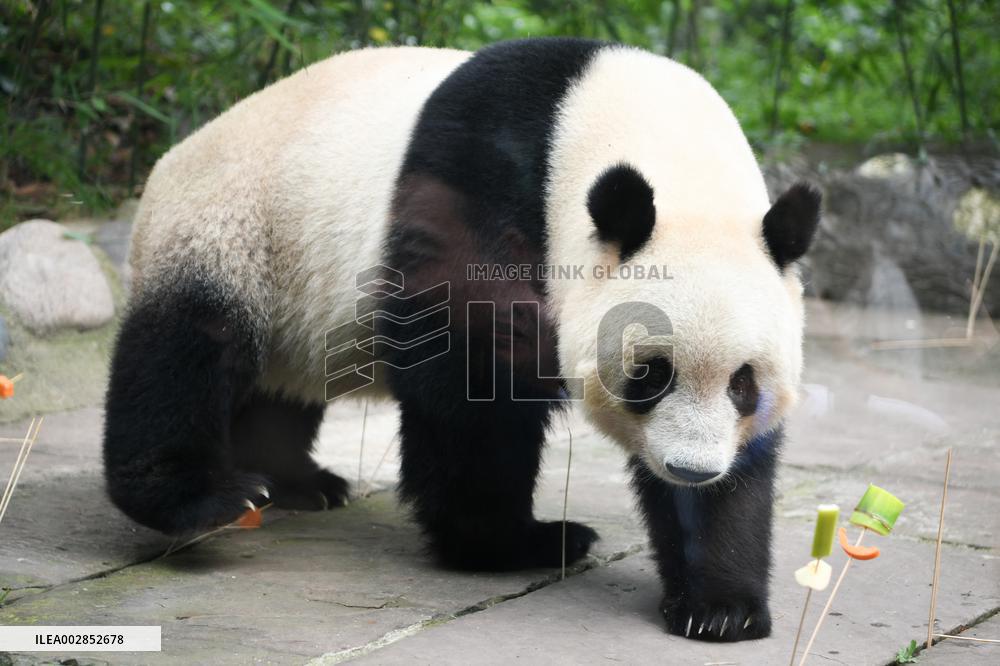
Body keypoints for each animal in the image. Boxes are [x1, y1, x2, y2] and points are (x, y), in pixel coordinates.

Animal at [105, 38, 820, 643]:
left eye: (744, 384)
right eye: (651, 374)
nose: (691, 469)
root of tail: (170, 161)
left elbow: (744, 470)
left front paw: (718, 606)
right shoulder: (490, 183)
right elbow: (473, 380)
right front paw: (514, 542)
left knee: (281, 383)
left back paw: (300, 482)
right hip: (233, 229)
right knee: (184, 355)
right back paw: (210, 498)